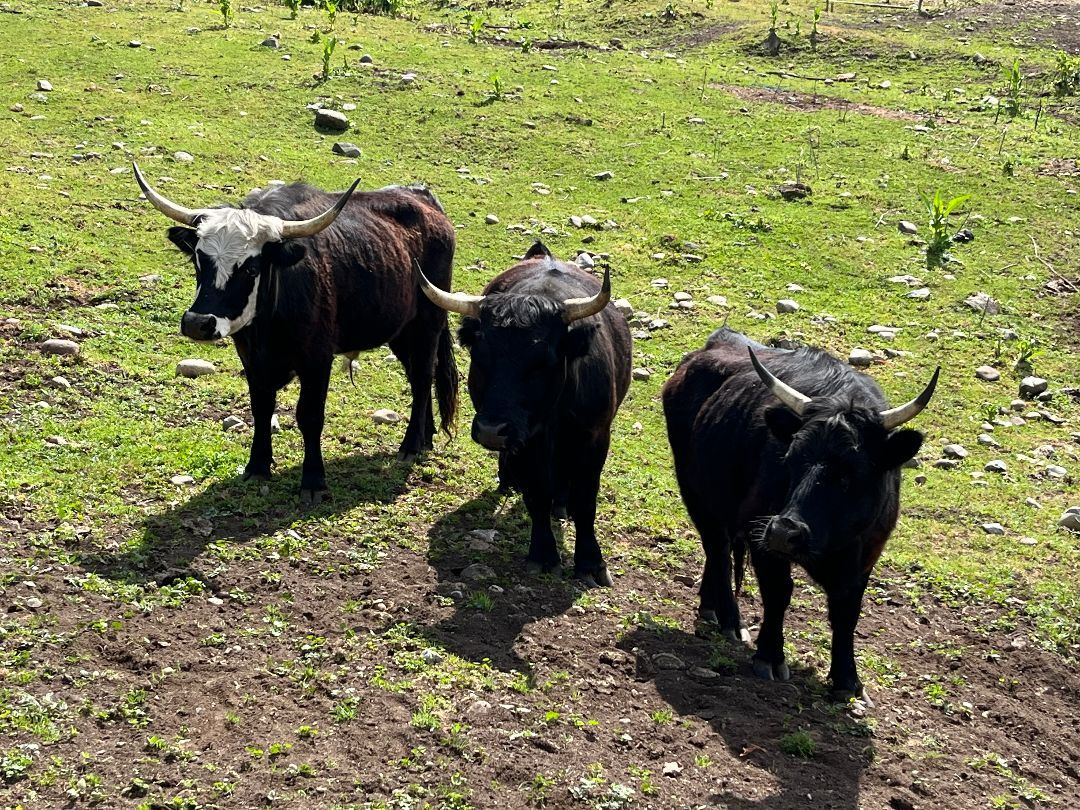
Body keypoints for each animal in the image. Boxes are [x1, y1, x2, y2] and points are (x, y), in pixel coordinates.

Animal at [133, 163, 458, 505]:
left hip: (428, 324)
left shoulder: (317, 360)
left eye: (250, 268)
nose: (198, 322)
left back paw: (410, 446)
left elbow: (309, 416)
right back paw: (425, 438)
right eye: (199, 261)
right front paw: (257, 466)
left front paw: (313, 481)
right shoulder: (252, 361)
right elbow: (261, 409)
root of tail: (423, 198)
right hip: (401, 331)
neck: (267, 326)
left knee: (422, 377)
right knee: (418, 376)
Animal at [416, 242, 632, 586]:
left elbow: (586, 499)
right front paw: (543, 554)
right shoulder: (528, 442)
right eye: (480, 355)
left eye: (543, 359)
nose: (491, 430)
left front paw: (590, 562)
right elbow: (536, 493)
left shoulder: (595, 438)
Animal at [662, 326, 938, 699]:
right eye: (791, 457)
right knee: (717, 550)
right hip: (696, 490)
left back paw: (710, 608)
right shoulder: (761, 536)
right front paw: (770, 656)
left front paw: (848, 680)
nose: (785, 531)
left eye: (851, 472)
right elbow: (778, 593)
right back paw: (731, 621)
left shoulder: (866, 554)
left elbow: (847, 611)